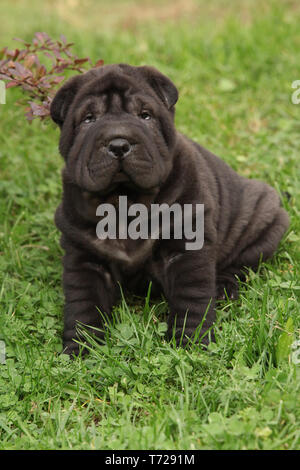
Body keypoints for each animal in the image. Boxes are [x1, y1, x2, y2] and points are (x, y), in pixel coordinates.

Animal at [50, 63, 290, 356]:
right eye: (89, 119)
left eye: (145, 116)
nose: (119, 143)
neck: (125, 201)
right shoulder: (84, 256)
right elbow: (84, 304)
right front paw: (81, 349)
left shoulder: (187, 248)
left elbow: (192, 297)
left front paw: (191, 342)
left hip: (265, 218)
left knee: (241, 263)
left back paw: (223, 287)